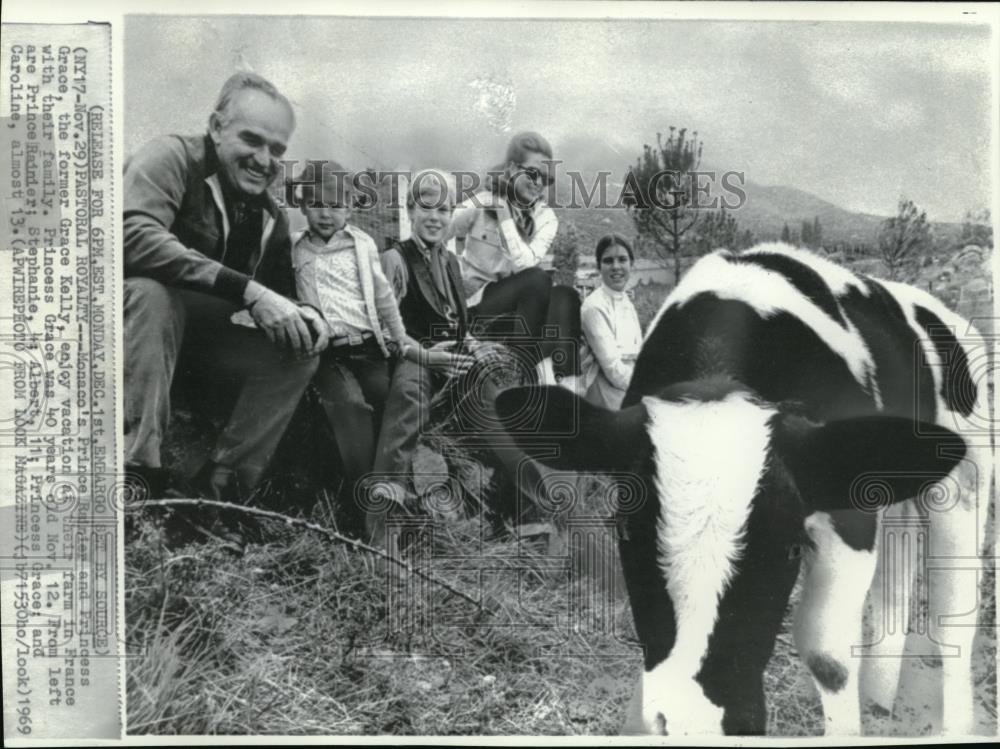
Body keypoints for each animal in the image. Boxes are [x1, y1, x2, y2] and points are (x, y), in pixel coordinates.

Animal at [496, 243, 988, 732]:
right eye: (626, 534)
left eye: (791, 547)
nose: (696, 723)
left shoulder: (849, 515)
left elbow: (827, 656)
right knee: (894, 591)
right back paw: (879, 701)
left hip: (967, 478)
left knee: (953, 614)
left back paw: (954, 724)